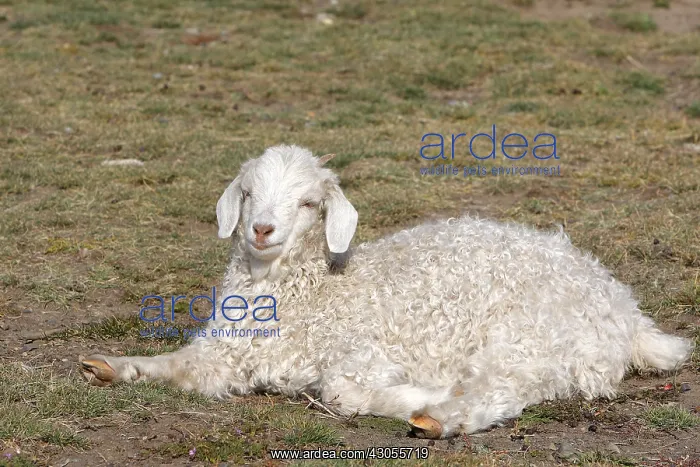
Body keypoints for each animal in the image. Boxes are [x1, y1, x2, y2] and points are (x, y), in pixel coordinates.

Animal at [80, 144, 693, 439]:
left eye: (309, 203)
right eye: (248, 192)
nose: (262, 230)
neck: (315, 292)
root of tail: (623, 307)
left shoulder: (363, 354)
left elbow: (343, 393)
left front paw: (420, 395)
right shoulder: (226, 353)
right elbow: (179, 365)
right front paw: (109, 366)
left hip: (531, 335)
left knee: (507, 389)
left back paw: (440, 417)